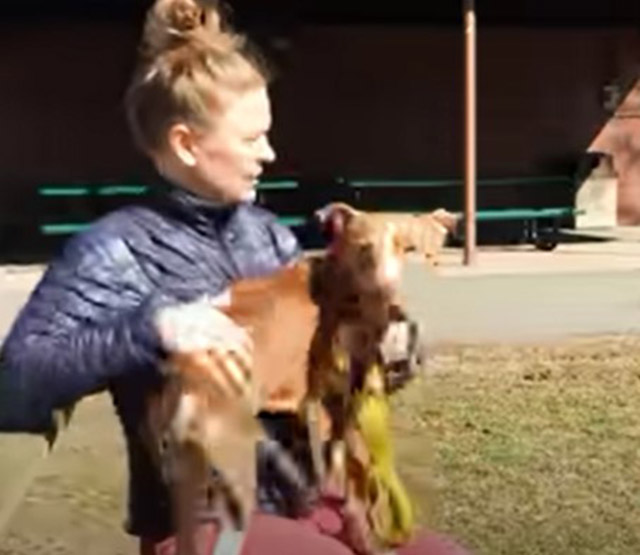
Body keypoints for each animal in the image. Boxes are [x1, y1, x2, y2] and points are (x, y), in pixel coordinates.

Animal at [144, 202, 436, 555]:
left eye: (411, 248)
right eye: (363, 248)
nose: (394, 308)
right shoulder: (346, 407)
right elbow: (358, 487)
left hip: (188, 482)